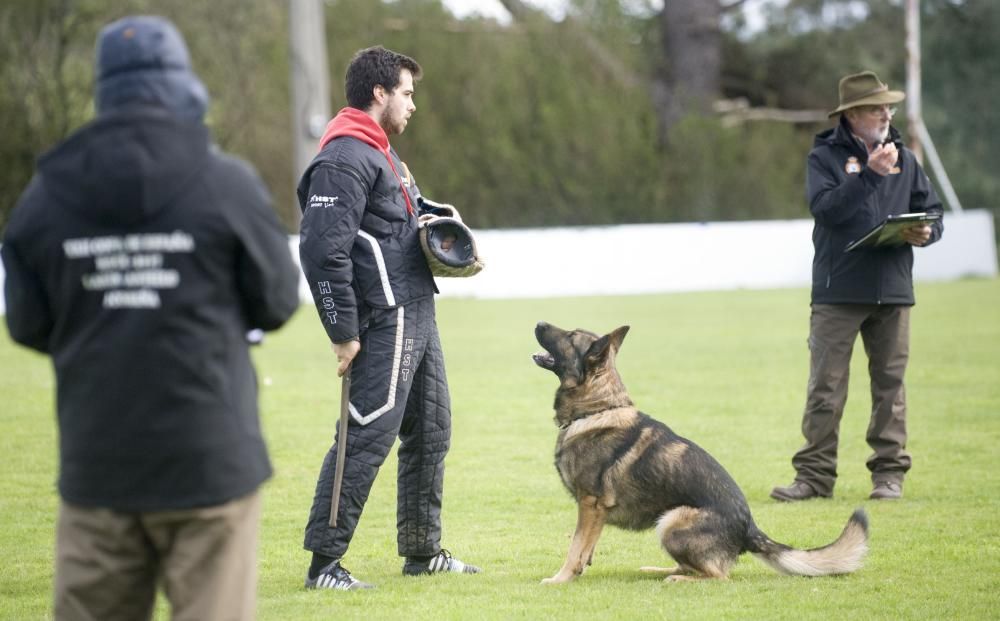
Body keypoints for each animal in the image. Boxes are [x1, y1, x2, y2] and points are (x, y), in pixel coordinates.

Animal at [532, 322, 868, 584]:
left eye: (570, 335)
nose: (538, 322)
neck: (598, 408)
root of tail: (749, 528)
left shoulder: (590, 505)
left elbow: (575, 547)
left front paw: (560, 578)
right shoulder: (594, 513)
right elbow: (586, 547)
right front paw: (577, 571)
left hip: (672, 521)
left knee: (717, 575)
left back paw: (678, 579)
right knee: (691, 567)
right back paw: (658, 570)